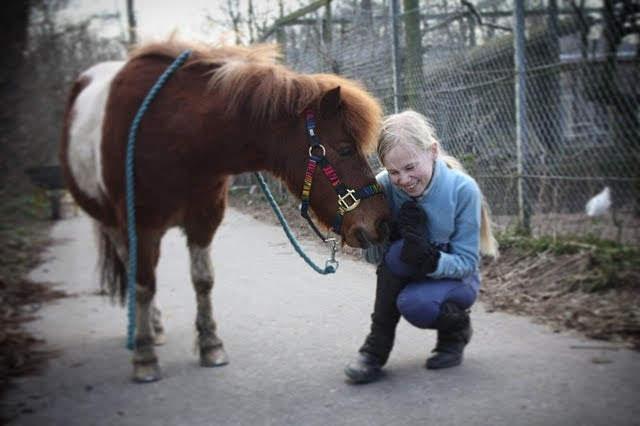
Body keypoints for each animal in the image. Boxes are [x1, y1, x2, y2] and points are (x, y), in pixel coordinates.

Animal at [58, 40, 390, 382]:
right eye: (345, 148)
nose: (382, 220)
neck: (175, 135)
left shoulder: (204, 221)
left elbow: (203, 280)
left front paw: (210, 344)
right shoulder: (141, 226)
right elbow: (143, 284)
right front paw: (144, 356)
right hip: (112, 224)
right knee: (135, 270)